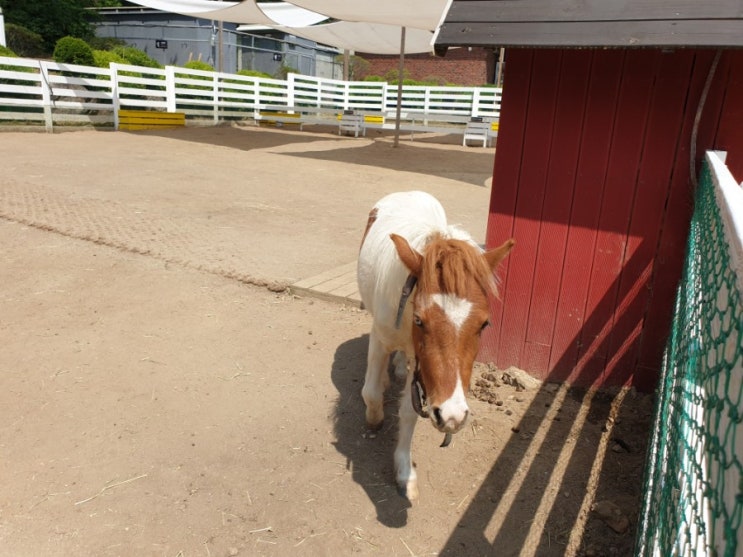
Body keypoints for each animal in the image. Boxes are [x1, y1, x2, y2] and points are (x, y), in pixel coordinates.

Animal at [358, 192, 516, 500]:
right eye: (419, 320)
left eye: (484, 324)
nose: (453, 416)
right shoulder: (381, 337)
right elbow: (370, 393)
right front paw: (374, 418)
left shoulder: (421, 366)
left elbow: (409, 413)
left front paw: (405, 474)